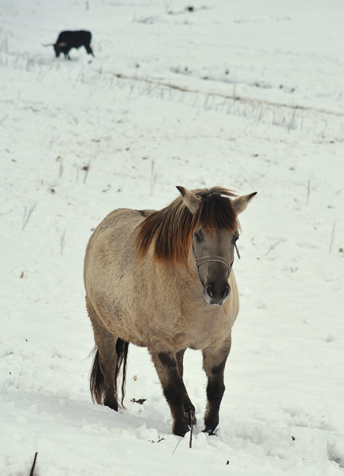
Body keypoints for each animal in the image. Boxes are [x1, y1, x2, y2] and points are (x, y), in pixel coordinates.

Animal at [83, 185, 255, 436]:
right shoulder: (161, 345)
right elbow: (173, 389)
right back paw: (112, 408)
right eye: (198, 235)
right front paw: (181, 431)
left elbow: (215, 389)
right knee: (109, 364)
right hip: (102, 325)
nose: (217, 292)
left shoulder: (219, 344)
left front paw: (209, 430)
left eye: (235, 237)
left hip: (178, 347)